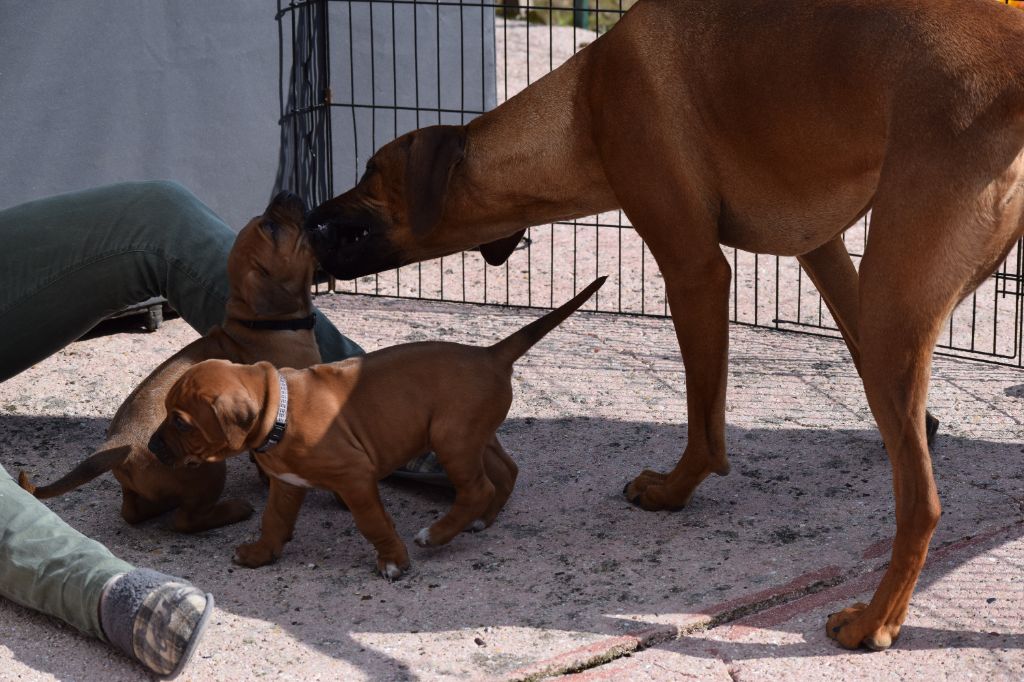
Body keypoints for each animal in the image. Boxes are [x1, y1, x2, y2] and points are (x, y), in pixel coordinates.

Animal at [20, 191, 323, 532]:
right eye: (271, 227)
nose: (285, 193)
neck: (262, 324)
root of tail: (119, 446)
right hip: (205, 468)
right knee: (187, 520)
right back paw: (234, 510)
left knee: (133, 512)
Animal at [148, 274, 602, 577]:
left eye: (181, 423)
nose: (152, 448)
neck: (279, 409)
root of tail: (490, 354)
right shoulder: (287, 485)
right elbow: (273, 521)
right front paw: (261, 553)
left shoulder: (355, 478)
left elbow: (373, 522)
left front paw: (393, 561)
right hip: (473, 435)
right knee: (506, 472)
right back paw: (480, 522)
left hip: (451, 439)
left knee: (478, 488)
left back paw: (437, 534)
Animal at [299, 0, 1024, 647]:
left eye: (370, 171)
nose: (306, 216)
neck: (577, 108)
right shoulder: (822, 252)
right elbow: (847, 333)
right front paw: (926, 422)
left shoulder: (695, 268)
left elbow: (705, 420)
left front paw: (674, 491)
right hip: (891, 300)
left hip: (894, 305)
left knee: (921, 503)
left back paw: (874, 622)